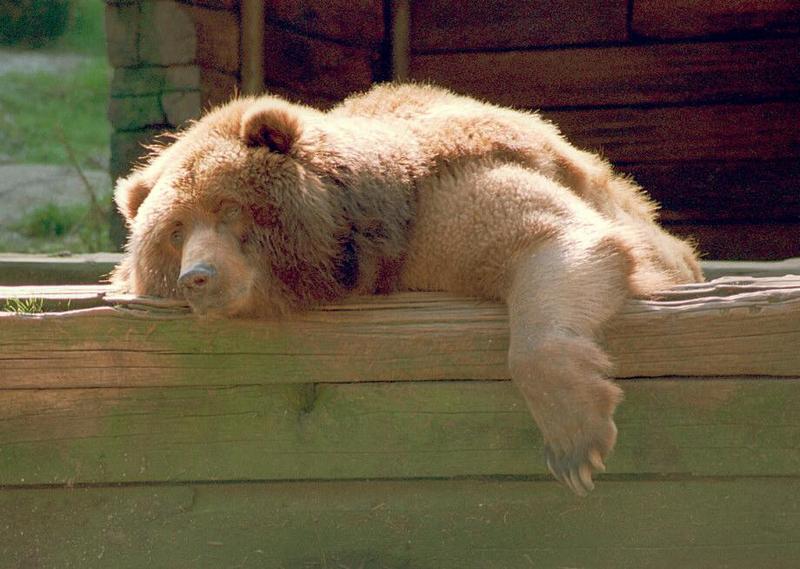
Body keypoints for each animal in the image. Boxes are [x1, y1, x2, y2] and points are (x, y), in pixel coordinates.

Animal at [112, 83, 700, 492]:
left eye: (227, 208)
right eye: (174, 231)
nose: (198, 277)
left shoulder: (442, 204)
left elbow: (553, 237)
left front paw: (576, 443)